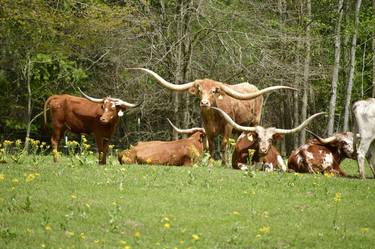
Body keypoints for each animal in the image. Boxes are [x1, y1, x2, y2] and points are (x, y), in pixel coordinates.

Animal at [128, 68, 296, 165]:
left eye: (214, 91)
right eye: (200, 90)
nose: (204, 103)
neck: (213, 116)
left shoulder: (228, 127)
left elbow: (223, 144)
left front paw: (224, 164)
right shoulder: (208, 129)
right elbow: (212, 145)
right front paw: (210, 163)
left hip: (254, 121)